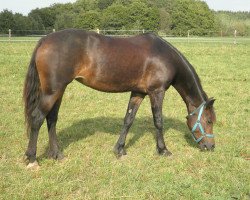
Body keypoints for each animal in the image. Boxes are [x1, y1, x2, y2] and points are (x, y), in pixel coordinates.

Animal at [23, 29, 215, 167]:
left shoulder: (138, 93)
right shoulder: (156, 92)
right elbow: (158, 121)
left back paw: (56, 154)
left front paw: (120, 149)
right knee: (37, 118)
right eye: (209, 121)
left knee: (51, 119)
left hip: (58, 91)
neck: (165, 56)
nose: (211, 146)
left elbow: (128, 119)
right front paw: (163, 150)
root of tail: (44, 40)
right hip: (52, 92)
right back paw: (32, 159)